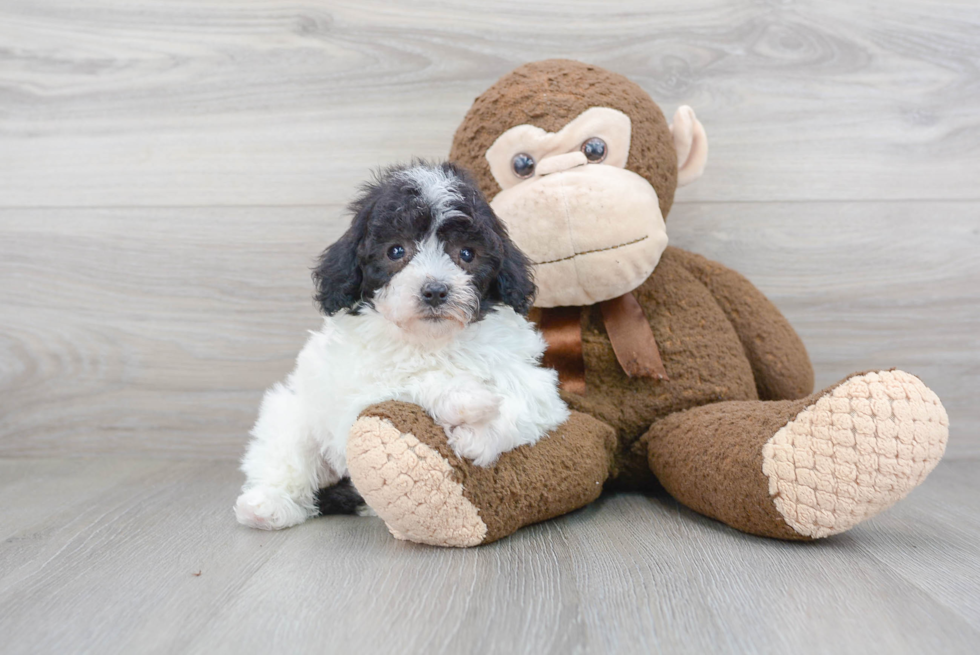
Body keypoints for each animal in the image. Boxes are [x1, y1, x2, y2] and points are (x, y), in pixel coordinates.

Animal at [234, 161, 568, 532]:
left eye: (467, 254)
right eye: (396, 251)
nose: (435, 290)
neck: (433, 341)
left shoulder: (538, 390)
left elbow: (522, 404)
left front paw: (479, 436)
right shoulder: (358, 392)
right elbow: (410, 380)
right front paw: (465, 399)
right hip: (293, 415)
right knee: (285, 459)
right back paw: (267, 506)